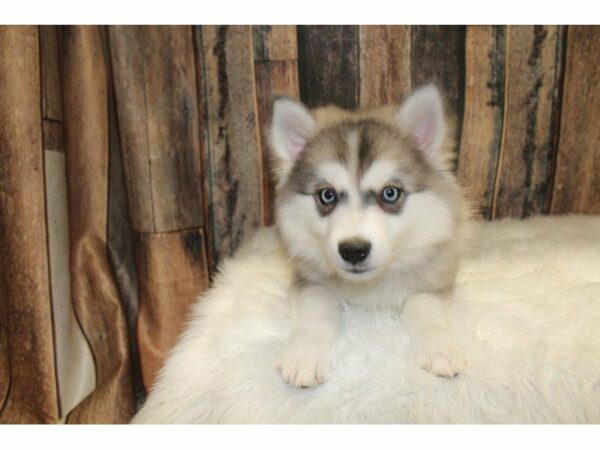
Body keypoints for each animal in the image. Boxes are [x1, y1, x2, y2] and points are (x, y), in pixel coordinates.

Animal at [270, 84, 468, 386]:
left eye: (390, 193)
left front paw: (439, 346)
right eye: (326, 195)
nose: (353, 250)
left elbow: (424, 306)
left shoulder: (435, 275)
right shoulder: (307, 279)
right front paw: (305, 353)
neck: (369, 287)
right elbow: (317, 310)